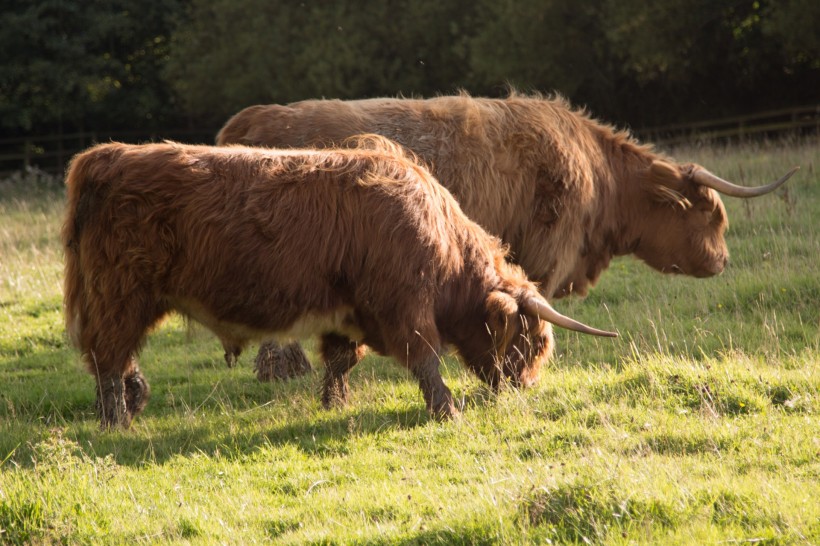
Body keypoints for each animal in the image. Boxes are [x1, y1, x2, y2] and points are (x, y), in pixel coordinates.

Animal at [62, 138, 616, 428]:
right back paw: (117, 418)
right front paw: (447, 409)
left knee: (113, 356)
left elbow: (340, 360)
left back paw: (132, 400)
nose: (525, 386)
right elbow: (426, 359)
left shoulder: (348, 312)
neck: (444, 246)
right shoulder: (405, 306)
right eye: (532, 340)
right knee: (109, 355)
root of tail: (108, 155)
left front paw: (334, 403)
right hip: (119, 292)